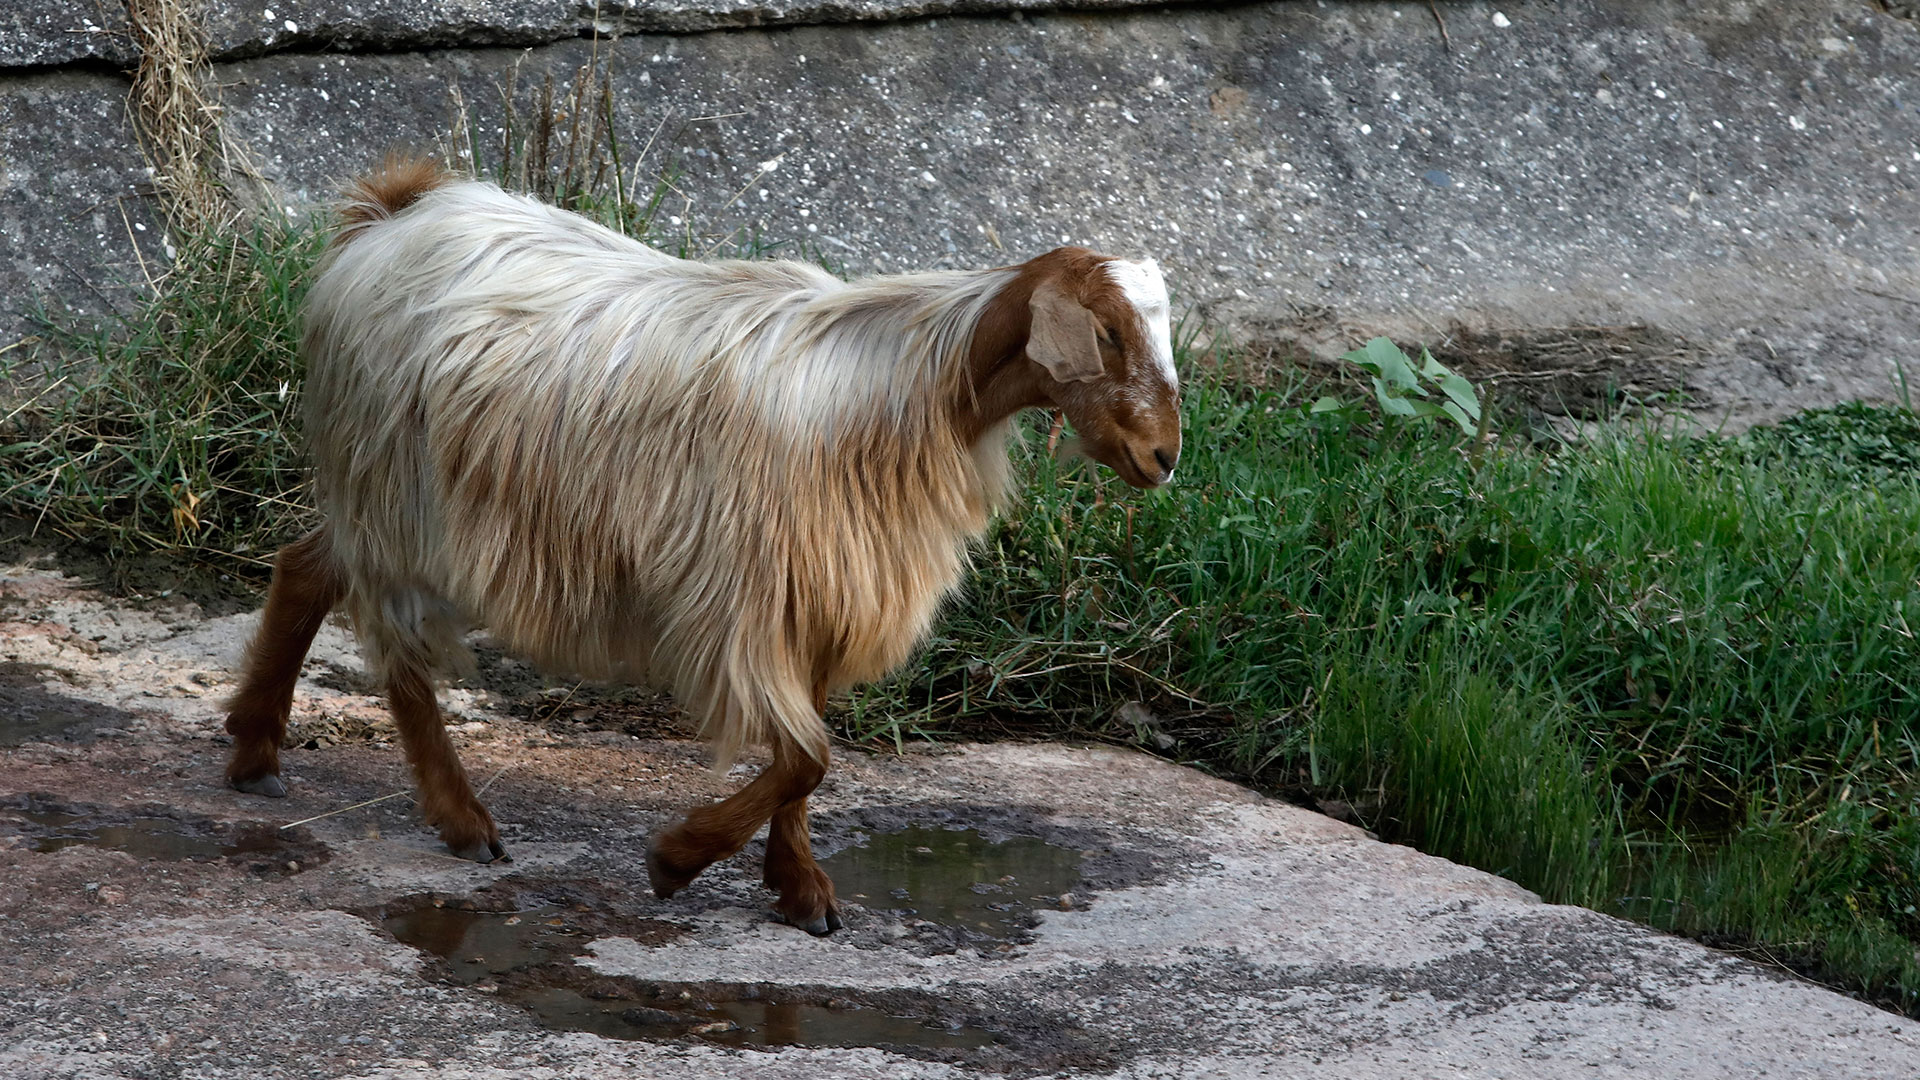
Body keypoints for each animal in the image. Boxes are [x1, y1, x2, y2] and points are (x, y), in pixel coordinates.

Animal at [224, 155, 1182, 930]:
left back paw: (254, 751)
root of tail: (392, 213)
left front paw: (799, 889)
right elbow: (807, 755)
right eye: (1106, 332)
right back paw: (462, 820)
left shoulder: (820, 589)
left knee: (306, 568)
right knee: (397, 652)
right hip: (398, 493)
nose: (1164, 457)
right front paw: (676, 860)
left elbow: (807, 758)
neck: (909, 388)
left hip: (380, 502)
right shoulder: (743, 591)